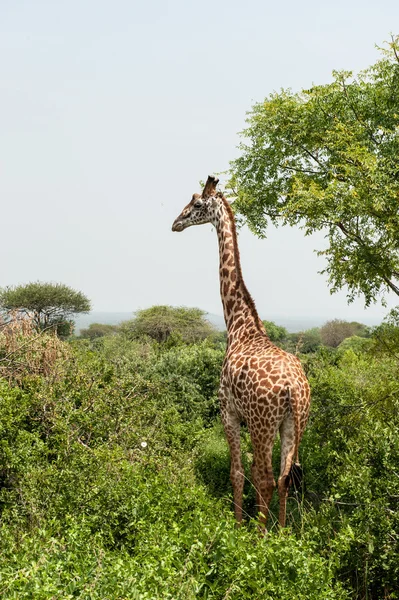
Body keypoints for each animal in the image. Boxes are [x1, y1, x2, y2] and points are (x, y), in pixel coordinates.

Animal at [172, 175, 312, 528]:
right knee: (284, 478)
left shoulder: (229, 411)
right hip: (295, 424)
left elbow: (236, 472)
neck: (239, 325)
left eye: (196, 204)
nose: (175, 223)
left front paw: (236, 526)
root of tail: (293, 389)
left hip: (264, 424)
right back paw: (281, 533)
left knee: (265, 477)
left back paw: (261, 536)